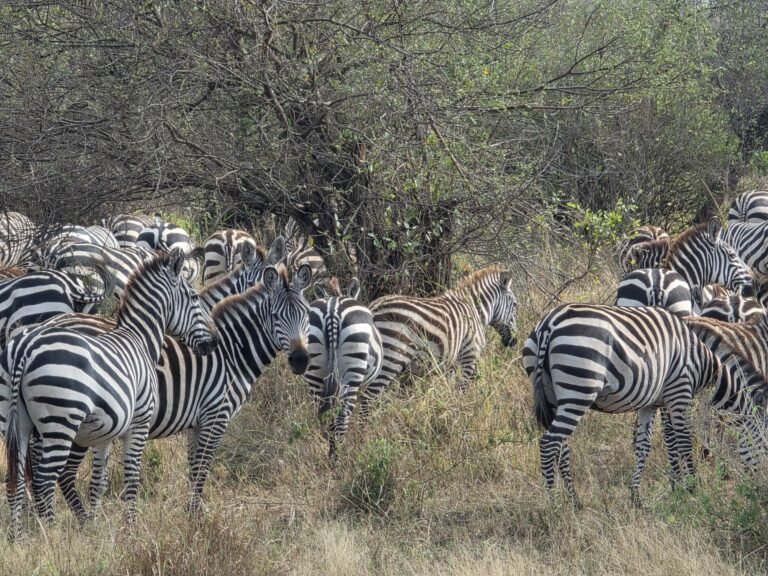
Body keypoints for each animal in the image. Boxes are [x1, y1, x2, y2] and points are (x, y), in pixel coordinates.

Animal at [2, 249, 217, 539]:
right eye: (194, 298)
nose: (212, 343)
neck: (139, 340)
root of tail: (25, 346)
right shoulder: (140, 423)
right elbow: (132, 475)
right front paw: (131, 528)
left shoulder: (104, 432)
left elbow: (98, 481)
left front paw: (93, 524)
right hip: (60, 421)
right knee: (44, 479)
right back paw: (51, 534)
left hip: (16, 420)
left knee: (14, 476)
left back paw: (18, 536)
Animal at [20, 262, 311, 515]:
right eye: (276, 316)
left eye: (307, 315)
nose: (300, 360)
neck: (232, 354)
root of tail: (40, 330)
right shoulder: (216, 417)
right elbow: (201, 471)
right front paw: (196, 521)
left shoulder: (196, 423)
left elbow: (193, 469)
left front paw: (192, 515)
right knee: (59, 471)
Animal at [304, 277, 383, 458]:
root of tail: (332, 311)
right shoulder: (365, 385)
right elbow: (364, 410)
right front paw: (361, 440)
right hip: (354, 368)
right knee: (343, 417)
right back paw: (338, 457)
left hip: (314, 372)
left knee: (323, 415)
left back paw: (330, 452)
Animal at [522, 303, 768, 506]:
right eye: (765, 446)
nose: (758, 491)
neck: (705, 360)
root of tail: (549, 324)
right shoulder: (679, 393)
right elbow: (683, 442)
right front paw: (691, 488)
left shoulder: (653, 403)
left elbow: (649, 445)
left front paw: (642, 495)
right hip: (579, 389)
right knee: (549, 444)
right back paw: (555, 506)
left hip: (554, 394)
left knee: (561, 446)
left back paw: (574, 502)